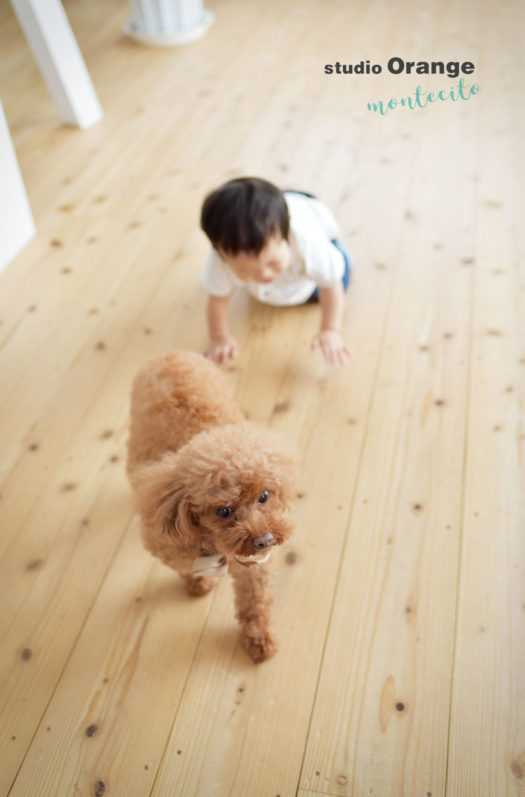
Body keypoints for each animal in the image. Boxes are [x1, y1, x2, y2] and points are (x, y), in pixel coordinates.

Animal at [127, 352, 296, 664]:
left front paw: (260, 639)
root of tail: (170, 354)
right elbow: (186, 570)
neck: (217, 548)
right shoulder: (168, 547)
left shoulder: (255, 567)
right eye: (223, 511)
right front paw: (198, 584)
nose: (265, 541)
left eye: (264, 496)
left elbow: (255, 605)